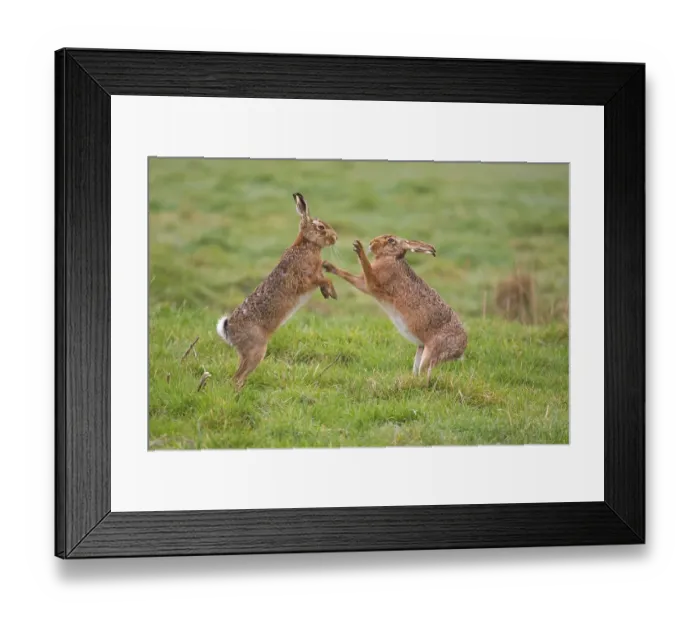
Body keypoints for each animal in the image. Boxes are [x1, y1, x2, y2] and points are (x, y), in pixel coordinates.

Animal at [217, 193, 339, 389]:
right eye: (320, 227)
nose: (335, 237)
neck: (307, 244)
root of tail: (228, 329)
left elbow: (324, 280)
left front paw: (327, 293)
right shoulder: (305, 278)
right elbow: (325, 279)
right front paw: (333, 292)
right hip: (256, 349)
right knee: (238, 377)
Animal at [323, 235, 467, 384]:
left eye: (391, 240)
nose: (371, 243)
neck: (391, 257)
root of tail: (461, 348)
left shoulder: (373, 283)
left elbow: (367, 269)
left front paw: (359, 248)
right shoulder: (364, 284)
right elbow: (348, 275)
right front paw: (328, 266)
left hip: (432, 351)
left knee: (425, 372)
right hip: (421, 349)